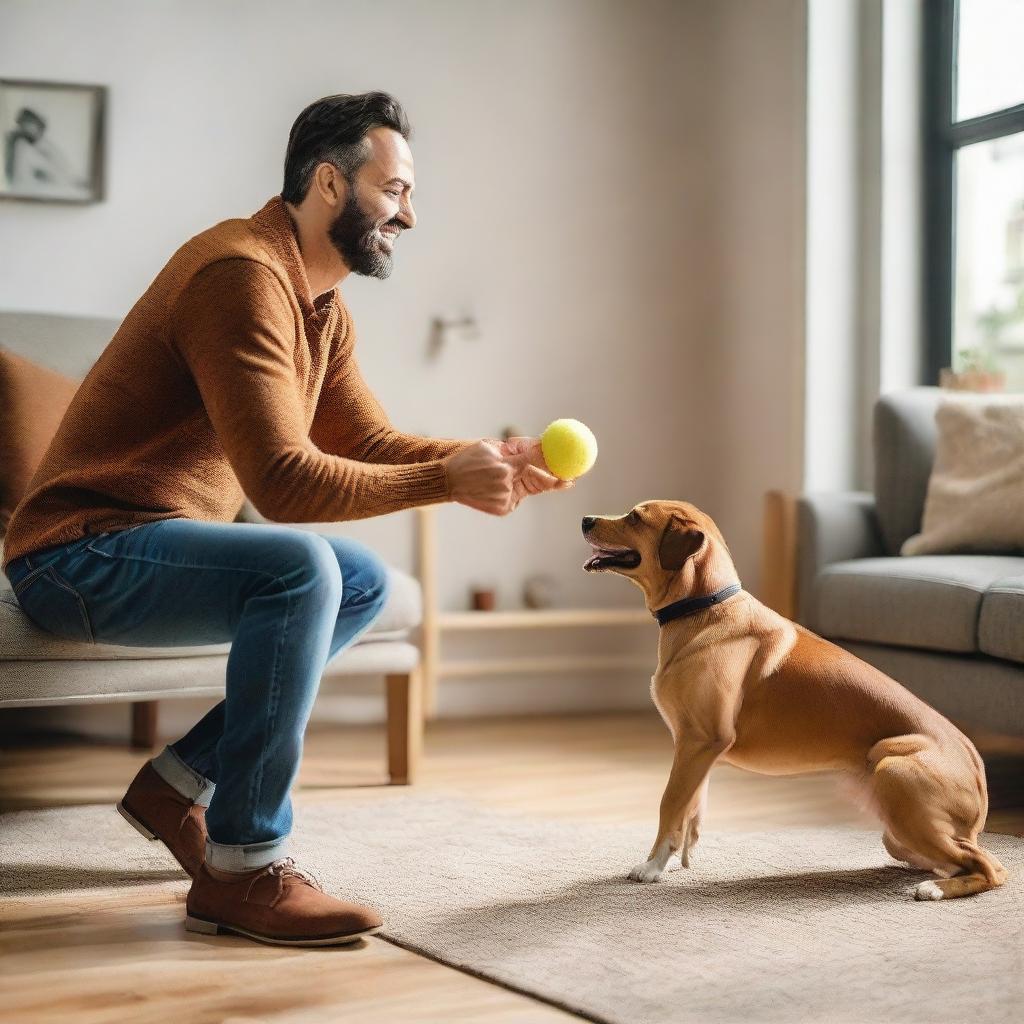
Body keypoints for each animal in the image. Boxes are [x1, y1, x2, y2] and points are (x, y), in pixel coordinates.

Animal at [585, 499, 1007, 901]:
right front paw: (675, 860)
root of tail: (974, 762)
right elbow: (691, 808)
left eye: (636, 517)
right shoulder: (697, 749)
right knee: (958, 860)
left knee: (990, 867)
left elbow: (669, 804)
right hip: (897, 830)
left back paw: (934, 889)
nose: (586, 520)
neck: (705, 607)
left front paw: (653, 866)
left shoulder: (699, 742)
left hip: (893, 772)